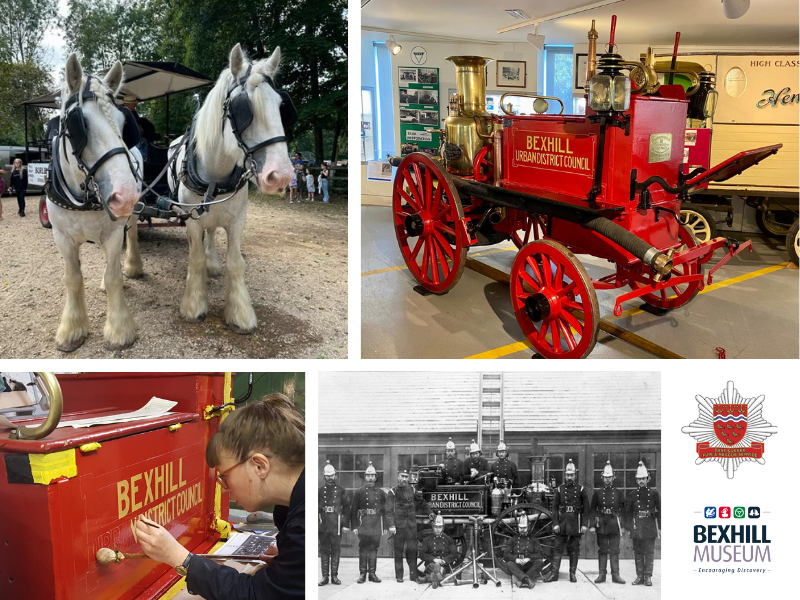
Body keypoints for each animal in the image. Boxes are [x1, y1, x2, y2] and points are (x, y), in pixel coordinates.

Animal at [47, 55, 144, 352]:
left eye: (124, 123)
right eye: (79, 124)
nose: (126, 196)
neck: (82, 197)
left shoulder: (113, 232)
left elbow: (114, 276)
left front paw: (119, 329)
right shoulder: (62, 237)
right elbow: (72, 278)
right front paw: (72, 328)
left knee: (132, 236)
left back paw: (133, 266)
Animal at [170, 43, 296, 332]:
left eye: (282, 106)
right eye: (243, 109)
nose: (281, 176)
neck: (215, 176)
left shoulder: (238, 220)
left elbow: (236, 263)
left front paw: (240, 313)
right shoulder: (192, 220)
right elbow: (195, 258)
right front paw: (194, 304)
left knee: (212, 232)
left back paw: (213, 263)